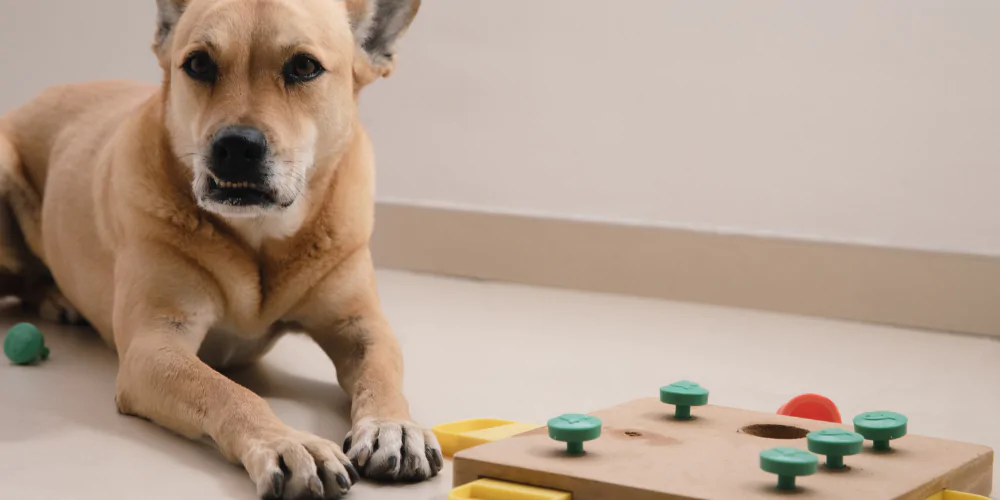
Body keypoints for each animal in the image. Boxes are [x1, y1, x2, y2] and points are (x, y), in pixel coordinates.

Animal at [0, 0, 446, 496]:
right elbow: (228, 392)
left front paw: (394, 426)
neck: (258, 236)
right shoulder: (154, 347)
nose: (235, 147)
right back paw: (54, 297)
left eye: (304, 67)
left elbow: (381, 372)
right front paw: (288, 442)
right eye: (198, 64)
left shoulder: (360, 325)